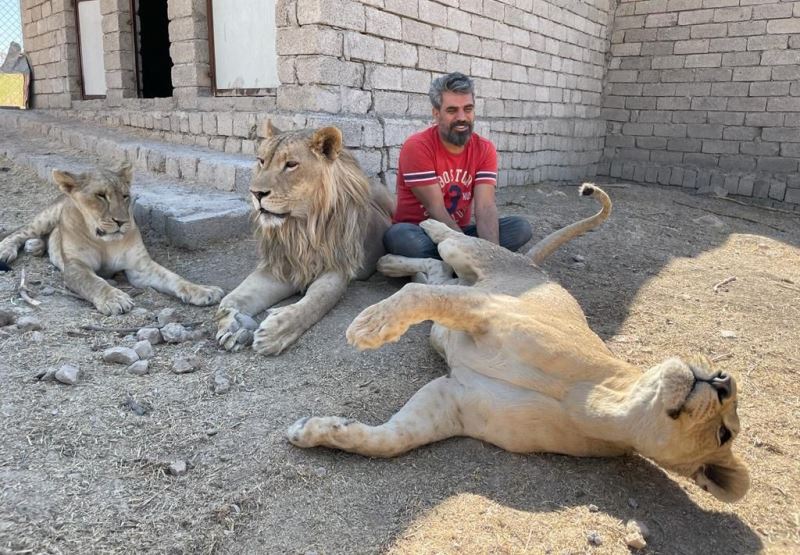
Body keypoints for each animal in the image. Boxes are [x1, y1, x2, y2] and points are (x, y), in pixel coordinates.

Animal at [0, 163, 223, 314]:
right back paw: (7, 250)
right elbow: (94, 282)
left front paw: (203, 290)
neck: (104, 242)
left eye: (125, 196)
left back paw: (35, 246)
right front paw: (115, 299)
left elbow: (173, 277)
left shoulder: (140, 267)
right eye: (101, 195)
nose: (121, 221)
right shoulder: (75, 267)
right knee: (21, 231)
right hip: (47, 216)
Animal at [216, 122, 394, 356]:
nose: (255, 193)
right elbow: (234, 297)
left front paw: (275, 332)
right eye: (261, 161)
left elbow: (316, 302)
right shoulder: (280, 266)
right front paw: (231, 324)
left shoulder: (337, 267)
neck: (300, 228)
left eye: (291, 164)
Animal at [292, 186, 752, 504]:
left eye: (724, 433)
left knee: (437, 272)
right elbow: (415, 297)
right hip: (477, 261)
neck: (597, 402)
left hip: (462, 289)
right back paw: (420, 232)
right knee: (446, 243)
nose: (723, 379)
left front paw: (315, 432)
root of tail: (533, 266)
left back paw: (391, 263)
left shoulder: (450, 402)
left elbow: (388, 442)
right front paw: (369, 326)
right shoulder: (490, 310)